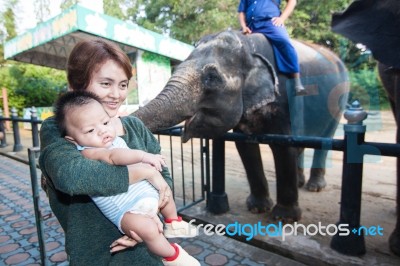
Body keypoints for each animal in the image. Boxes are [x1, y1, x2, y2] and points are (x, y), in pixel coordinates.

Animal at [134, 29, 346, 221]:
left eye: (212, 78)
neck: (249, 47)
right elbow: (245, 147)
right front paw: (258, 208)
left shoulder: (284, 99)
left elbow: (283, 145)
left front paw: (284, 218)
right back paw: (300, 182)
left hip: (338, 100)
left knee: (325, 139)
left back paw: (314, 187)